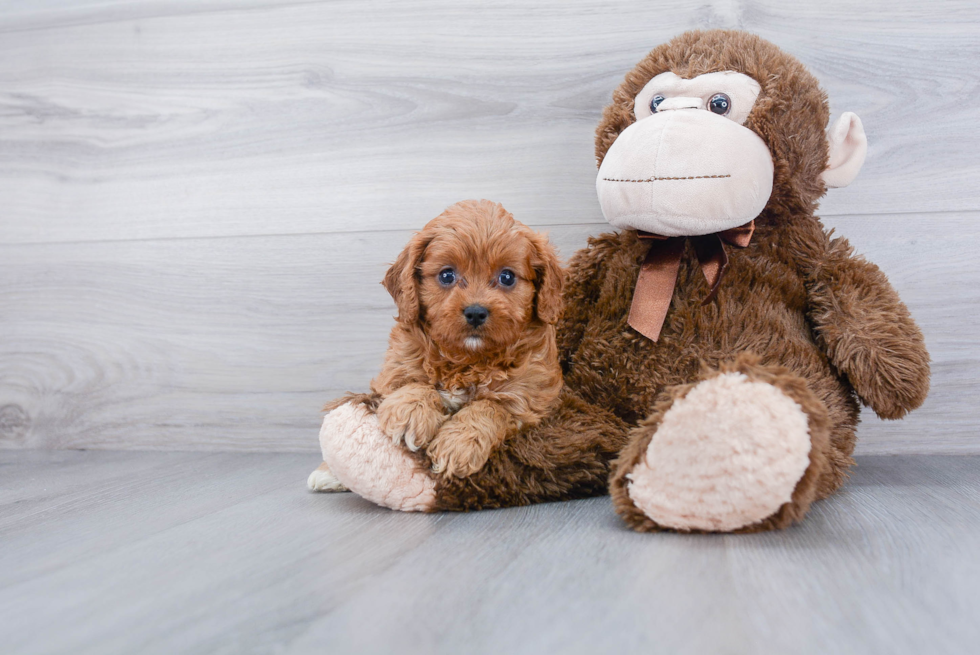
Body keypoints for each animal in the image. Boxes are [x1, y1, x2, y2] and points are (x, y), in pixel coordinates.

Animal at [362, 197, 560, 480]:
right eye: (447, 275)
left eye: (507, 277)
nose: (476, 312)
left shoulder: (530, 398)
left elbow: (490, 407)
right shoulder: (393, 372)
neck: (467, 360)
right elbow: (413, 383)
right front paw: (411, 412)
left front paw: (458, 443)